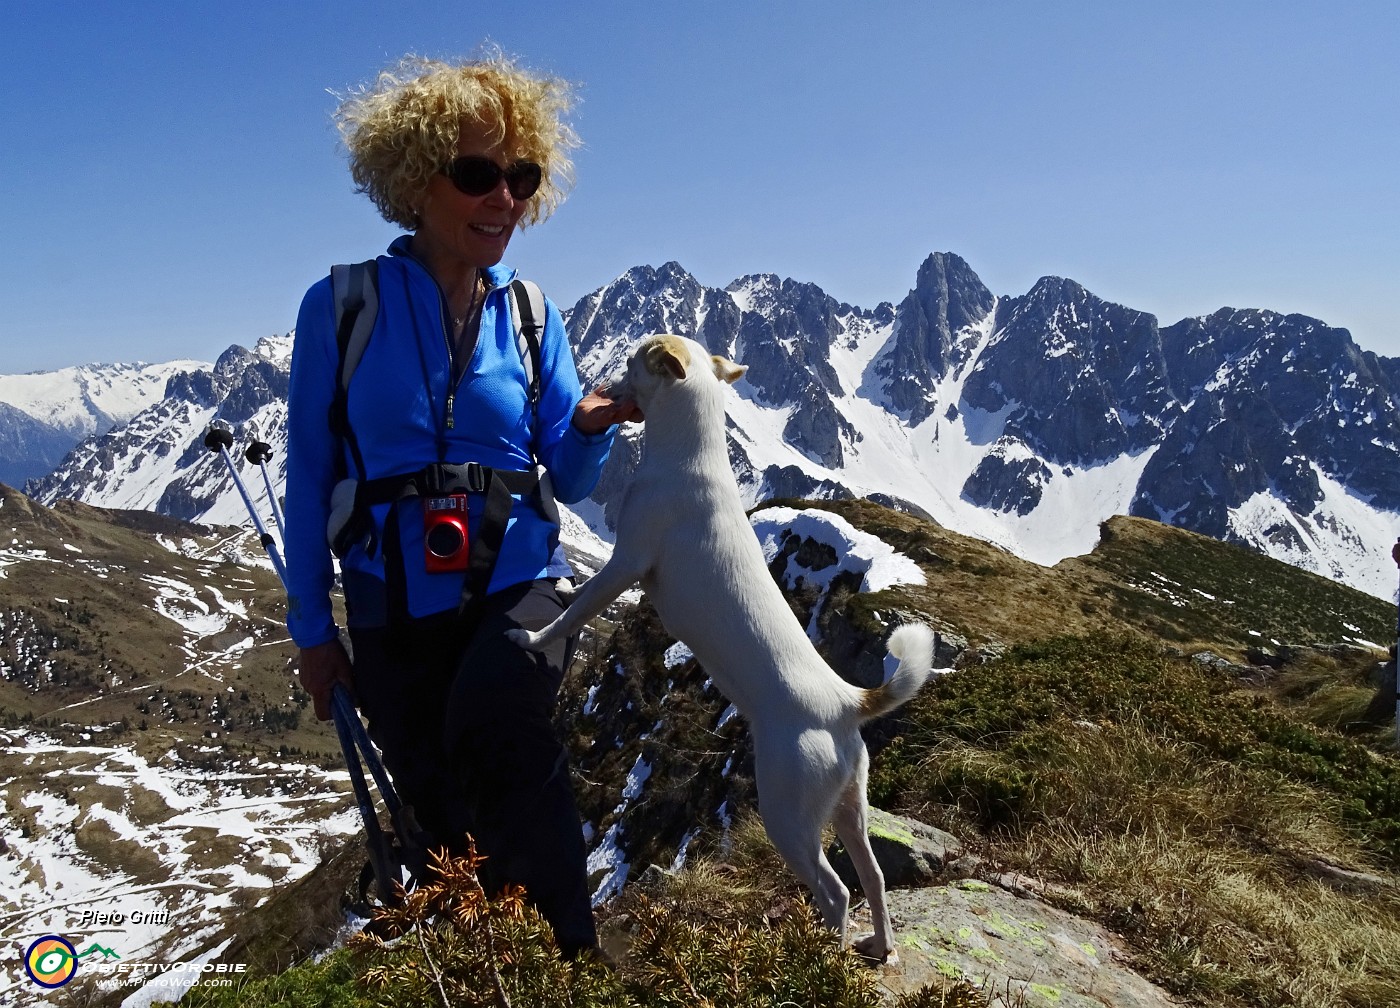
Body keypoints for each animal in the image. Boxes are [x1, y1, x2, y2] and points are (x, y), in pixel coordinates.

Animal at [509, 333, 935, 963]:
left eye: (633, 359)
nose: (602, 383)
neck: (690, 456)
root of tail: (845, 703)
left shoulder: (623, 566)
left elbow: (572, 613)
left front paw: (532, 636)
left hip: (787, 816)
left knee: (835, 892)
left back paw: (821, 960)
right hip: (850, 809)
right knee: (874, 877)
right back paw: (882, 947)